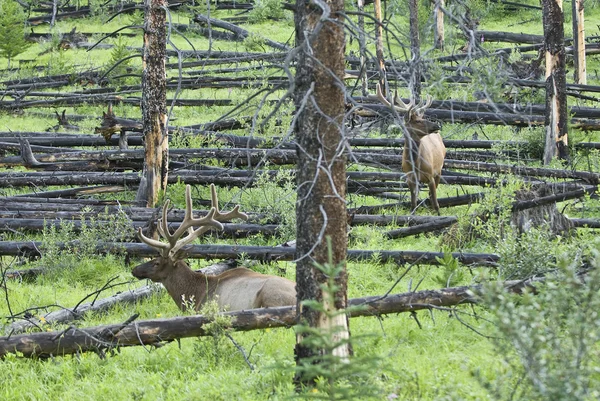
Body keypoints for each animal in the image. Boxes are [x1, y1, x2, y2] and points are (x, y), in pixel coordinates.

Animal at [376, 82, 446, 212]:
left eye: (421, 118)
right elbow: (413, 204)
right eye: (418, 121)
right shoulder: (410, 179)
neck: (416, 164)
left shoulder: (430, 176)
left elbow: (436, 203)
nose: (437, 125)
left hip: (439, 171)